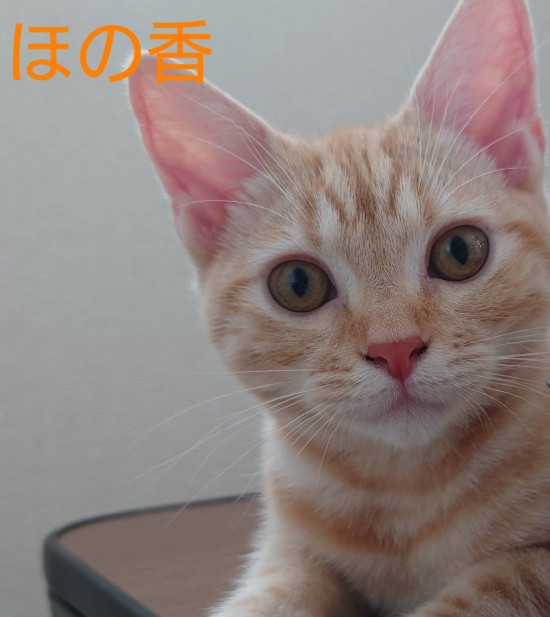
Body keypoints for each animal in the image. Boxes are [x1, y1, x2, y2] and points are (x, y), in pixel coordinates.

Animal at [128, 0, 550, 615]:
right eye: (298, 283)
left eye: (460, 251)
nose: (395, 349)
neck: (404, 495)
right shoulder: (291, 546)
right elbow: (274, 592)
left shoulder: (533, 568)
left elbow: (483, 592)